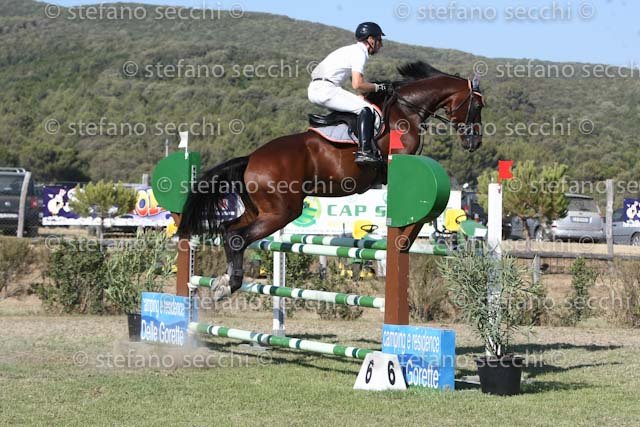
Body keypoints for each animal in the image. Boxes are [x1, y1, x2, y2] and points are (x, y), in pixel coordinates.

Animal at [178, 61, 485, 299]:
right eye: (478, 106)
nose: (475, 142)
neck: (406, 110)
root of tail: (251, 159)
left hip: (259, 210)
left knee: (230, 230)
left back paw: (223, 282)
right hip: (281, 212)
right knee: (237, 237)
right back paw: (230, 284)